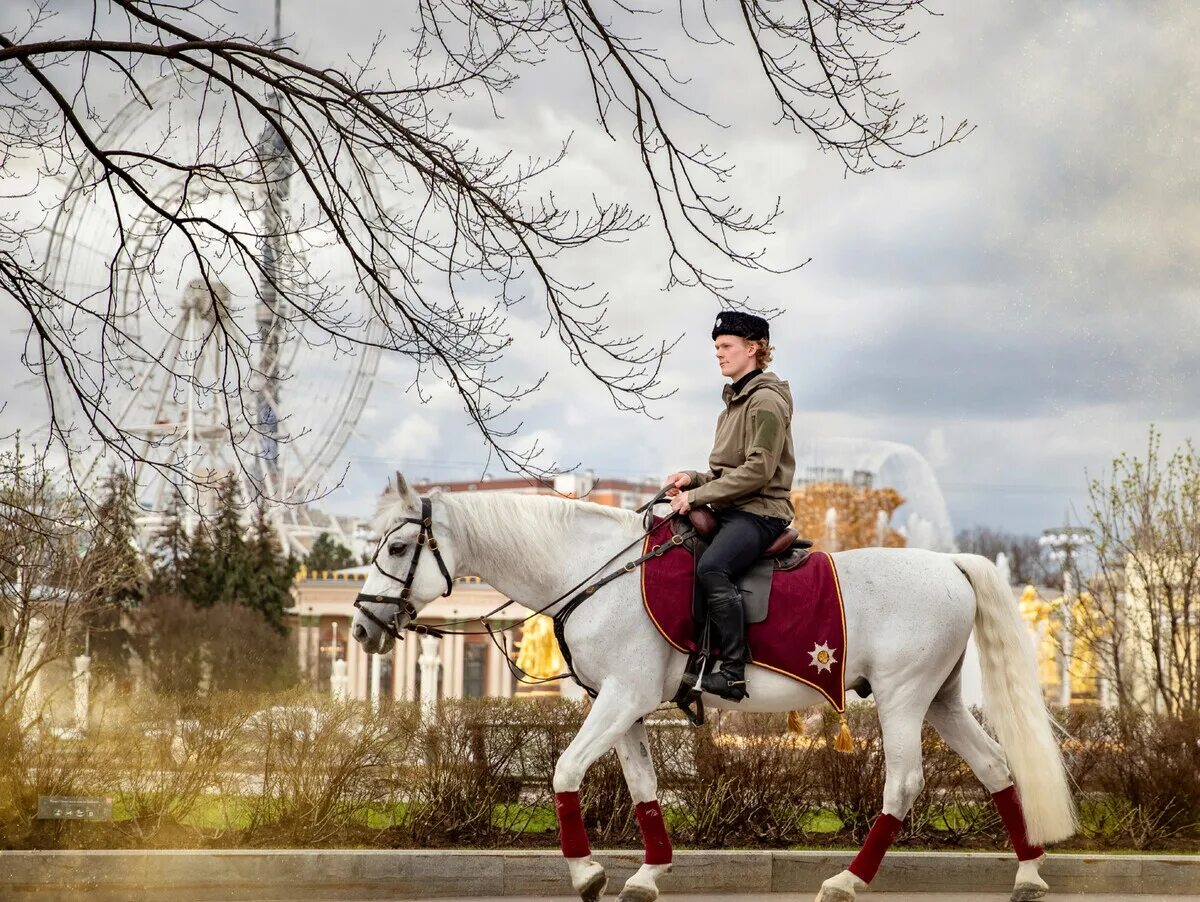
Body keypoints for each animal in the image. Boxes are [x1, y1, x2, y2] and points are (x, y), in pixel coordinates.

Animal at [350, 474, 1075, 897]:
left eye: (395, 548)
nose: (360, 626)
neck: (597, 569)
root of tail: (949, 561)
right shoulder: (626, 707)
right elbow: (643, 789)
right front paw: (647, 872)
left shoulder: (622, 698)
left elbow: (564, 771)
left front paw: (586, 872)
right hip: (941, 700)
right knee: (996, 767)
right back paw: (1028, 871)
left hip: (902, 699)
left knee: (903, 784)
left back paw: (848, 879)